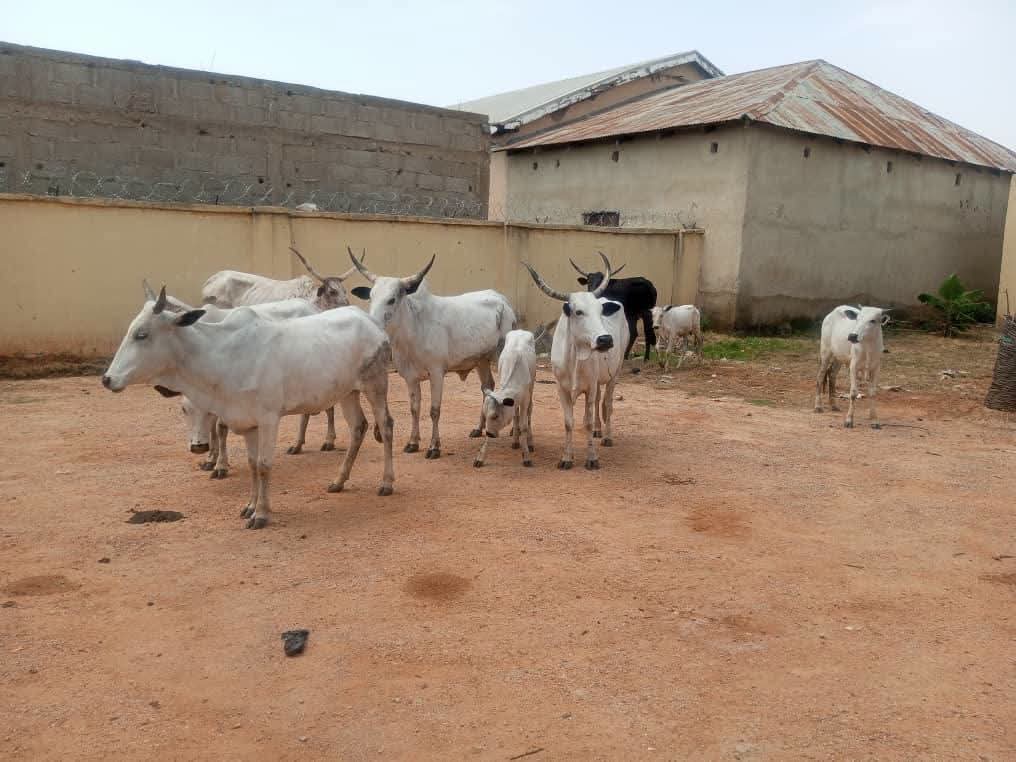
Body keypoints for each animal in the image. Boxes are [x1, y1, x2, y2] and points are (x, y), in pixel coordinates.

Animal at [103, 286, 395, 529]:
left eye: (142, 334)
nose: (107, 379)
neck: (222, 355)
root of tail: (370, 321)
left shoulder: (268, 419)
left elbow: (264, 465)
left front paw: (262, 514)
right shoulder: (248, 422)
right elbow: (253, 465)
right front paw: (250, 506)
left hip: (375, 385)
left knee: (386, 426)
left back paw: (386, 482)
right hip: (348, 392)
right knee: (358, 428)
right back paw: (339, 481)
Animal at [348, 248, 517, 459]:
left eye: (391, 300)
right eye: (371, 297)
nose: (372, 322)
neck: (413, 329)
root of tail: (502, 300)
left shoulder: (437, 373)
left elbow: (434, 410)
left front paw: (434, 447)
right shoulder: (410, 377)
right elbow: (414, 409)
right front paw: (413, 442)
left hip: (502, 355)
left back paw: (513, 431)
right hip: (482, 360)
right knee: (487, 387)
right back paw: (479, 428)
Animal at [473, 328, 539, 469]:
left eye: (496, 416)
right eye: (486, 416)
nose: (489, 433)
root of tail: (521, 330)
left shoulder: (525, 400)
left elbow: (524, 426)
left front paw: (526, 456)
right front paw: (480, 457)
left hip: (532, 386)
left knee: (529, 413)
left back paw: (529, 441)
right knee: (516, 416)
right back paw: (515, 441)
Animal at [523, 253, 629, 470]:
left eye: (600, 311)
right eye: (578, 312)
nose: (605, 340)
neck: (574, 359)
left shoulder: (590, 387)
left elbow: (587, 420)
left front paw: (592, 458)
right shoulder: (562, 389)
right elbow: (568, 422)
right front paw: (566, 458)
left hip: (616, 370)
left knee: (607, 403)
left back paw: (606, 436)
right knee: (599, 401)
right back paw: (598, 430)